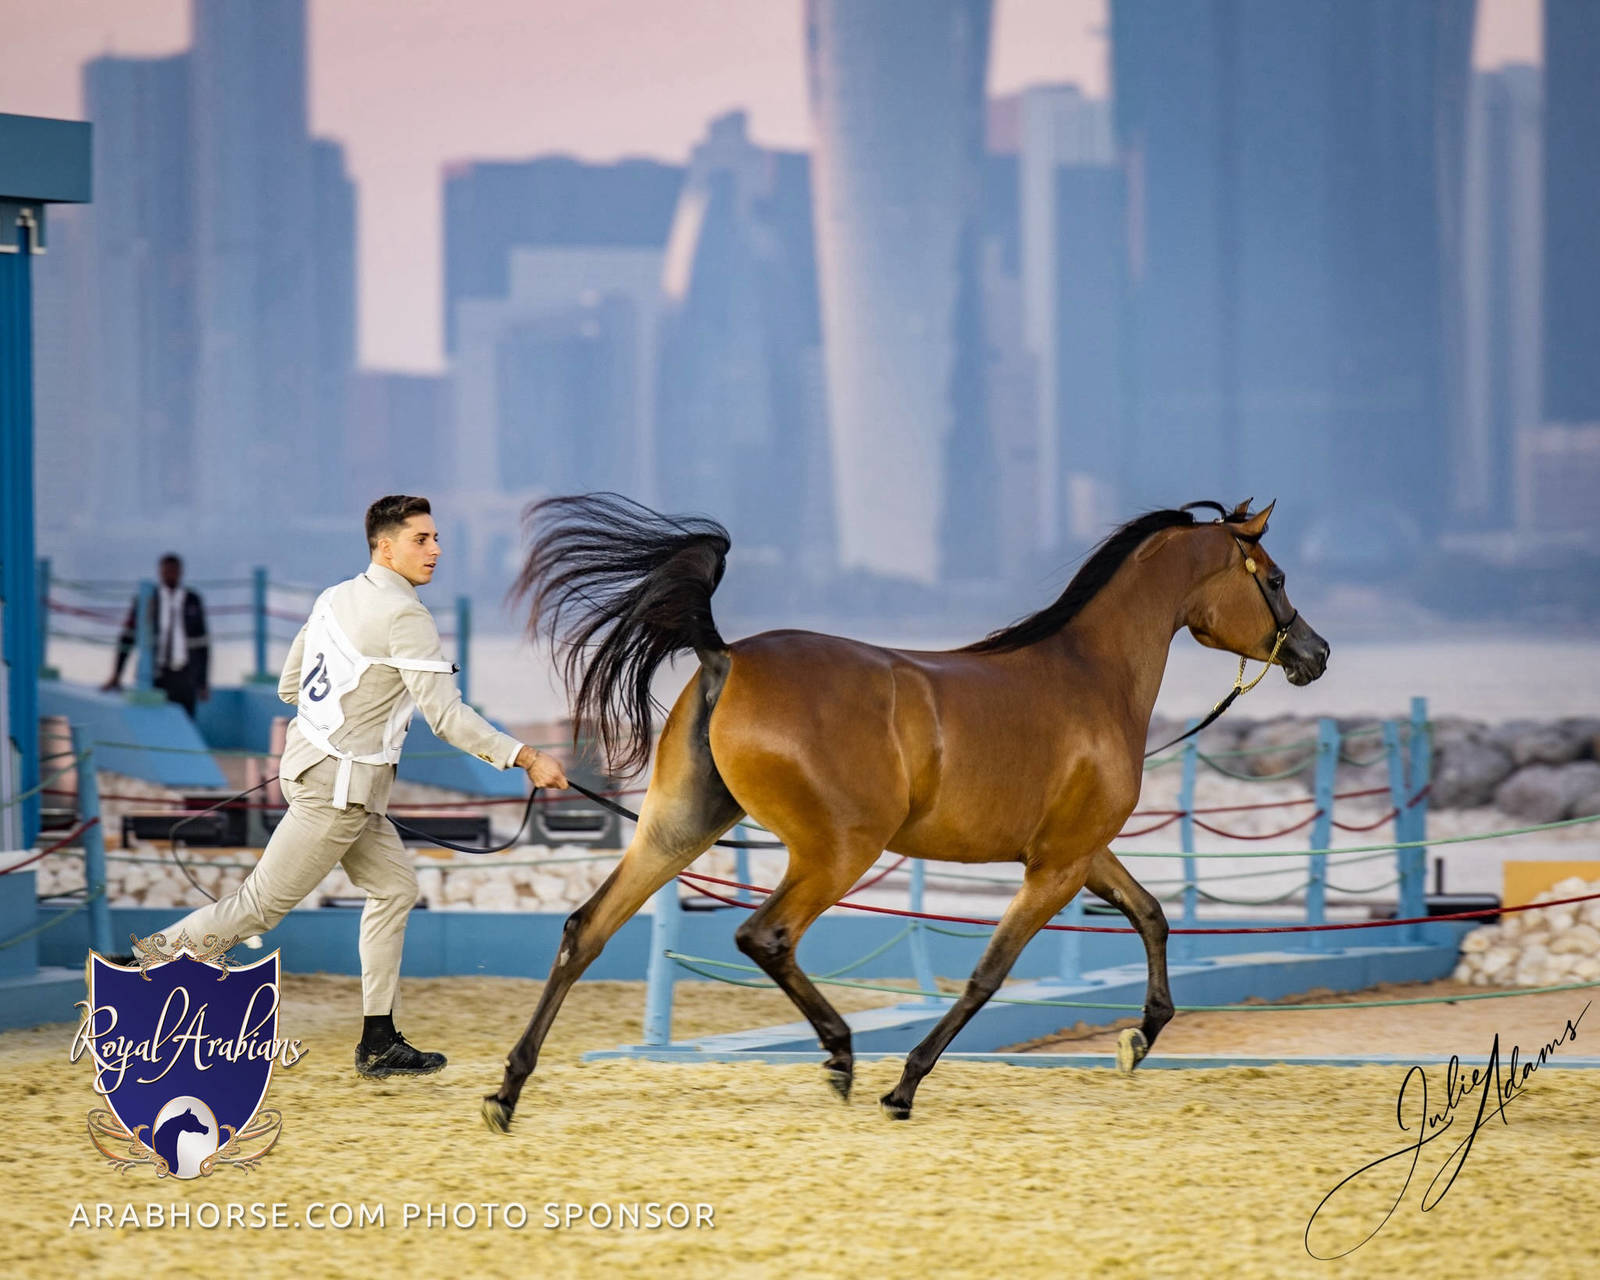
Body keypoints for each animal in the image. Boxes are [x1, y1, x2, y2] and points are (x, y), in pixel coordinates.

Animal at [481, 494, 1329, 1132]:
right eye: (1276, 577)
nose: (1314, 655)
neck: (1091, 677)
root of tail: (727, 655)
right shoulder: (1056, 867)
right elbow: (989, 973)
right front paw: (907, 1085)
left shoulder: (1082, 853)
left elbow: (1151, 915)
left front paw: (1139, 1039)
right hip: (836, 851)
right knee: (765, 936)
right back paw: (843, 1057)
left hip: (678, 828)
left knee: (586, 929)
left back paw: (507, 1092)